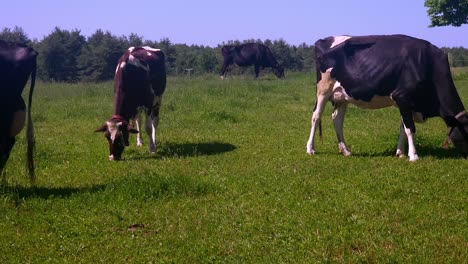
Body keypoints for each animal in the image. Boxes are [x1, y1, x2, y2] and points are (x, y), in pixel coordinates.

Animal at [308, 34, 468, 160]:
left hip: (342, 96)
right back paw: (310, 149)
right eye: (467, 132)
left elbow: (403, 127)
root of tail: (325, 40)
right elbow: (410, 128)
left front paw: (400, 153)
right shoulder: (402, 96)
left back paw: (345, 150)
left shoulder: (407, 103)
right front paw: (413, 155)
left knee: (337, 119)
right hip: (323, 90)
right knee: (316, 116)